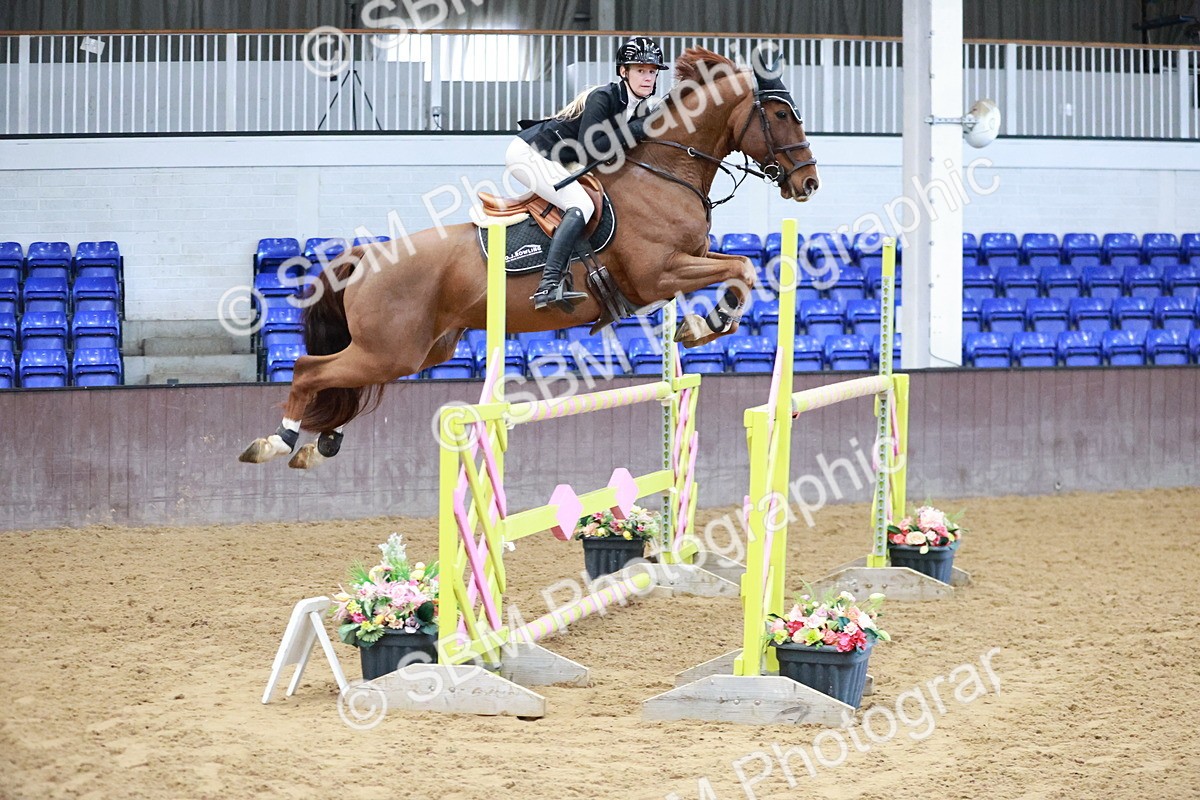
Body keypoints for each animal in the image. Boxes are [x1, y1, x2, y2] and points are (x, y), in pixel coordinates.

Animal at [239, 47, 820, 468]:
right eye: (780, 113)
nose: (808, 183)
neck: (665, 171)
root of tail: (366, 255)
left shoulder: (688, 261)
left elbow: (741, 271)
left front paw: (700, 325)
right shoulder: (659, 275)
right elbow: (741, 270)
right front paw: (703, 325)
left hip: (417, 350)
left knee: (342, 378)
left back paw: (320, 442)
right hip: (392, 349)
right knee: (310, 369)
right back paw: (276, 442)